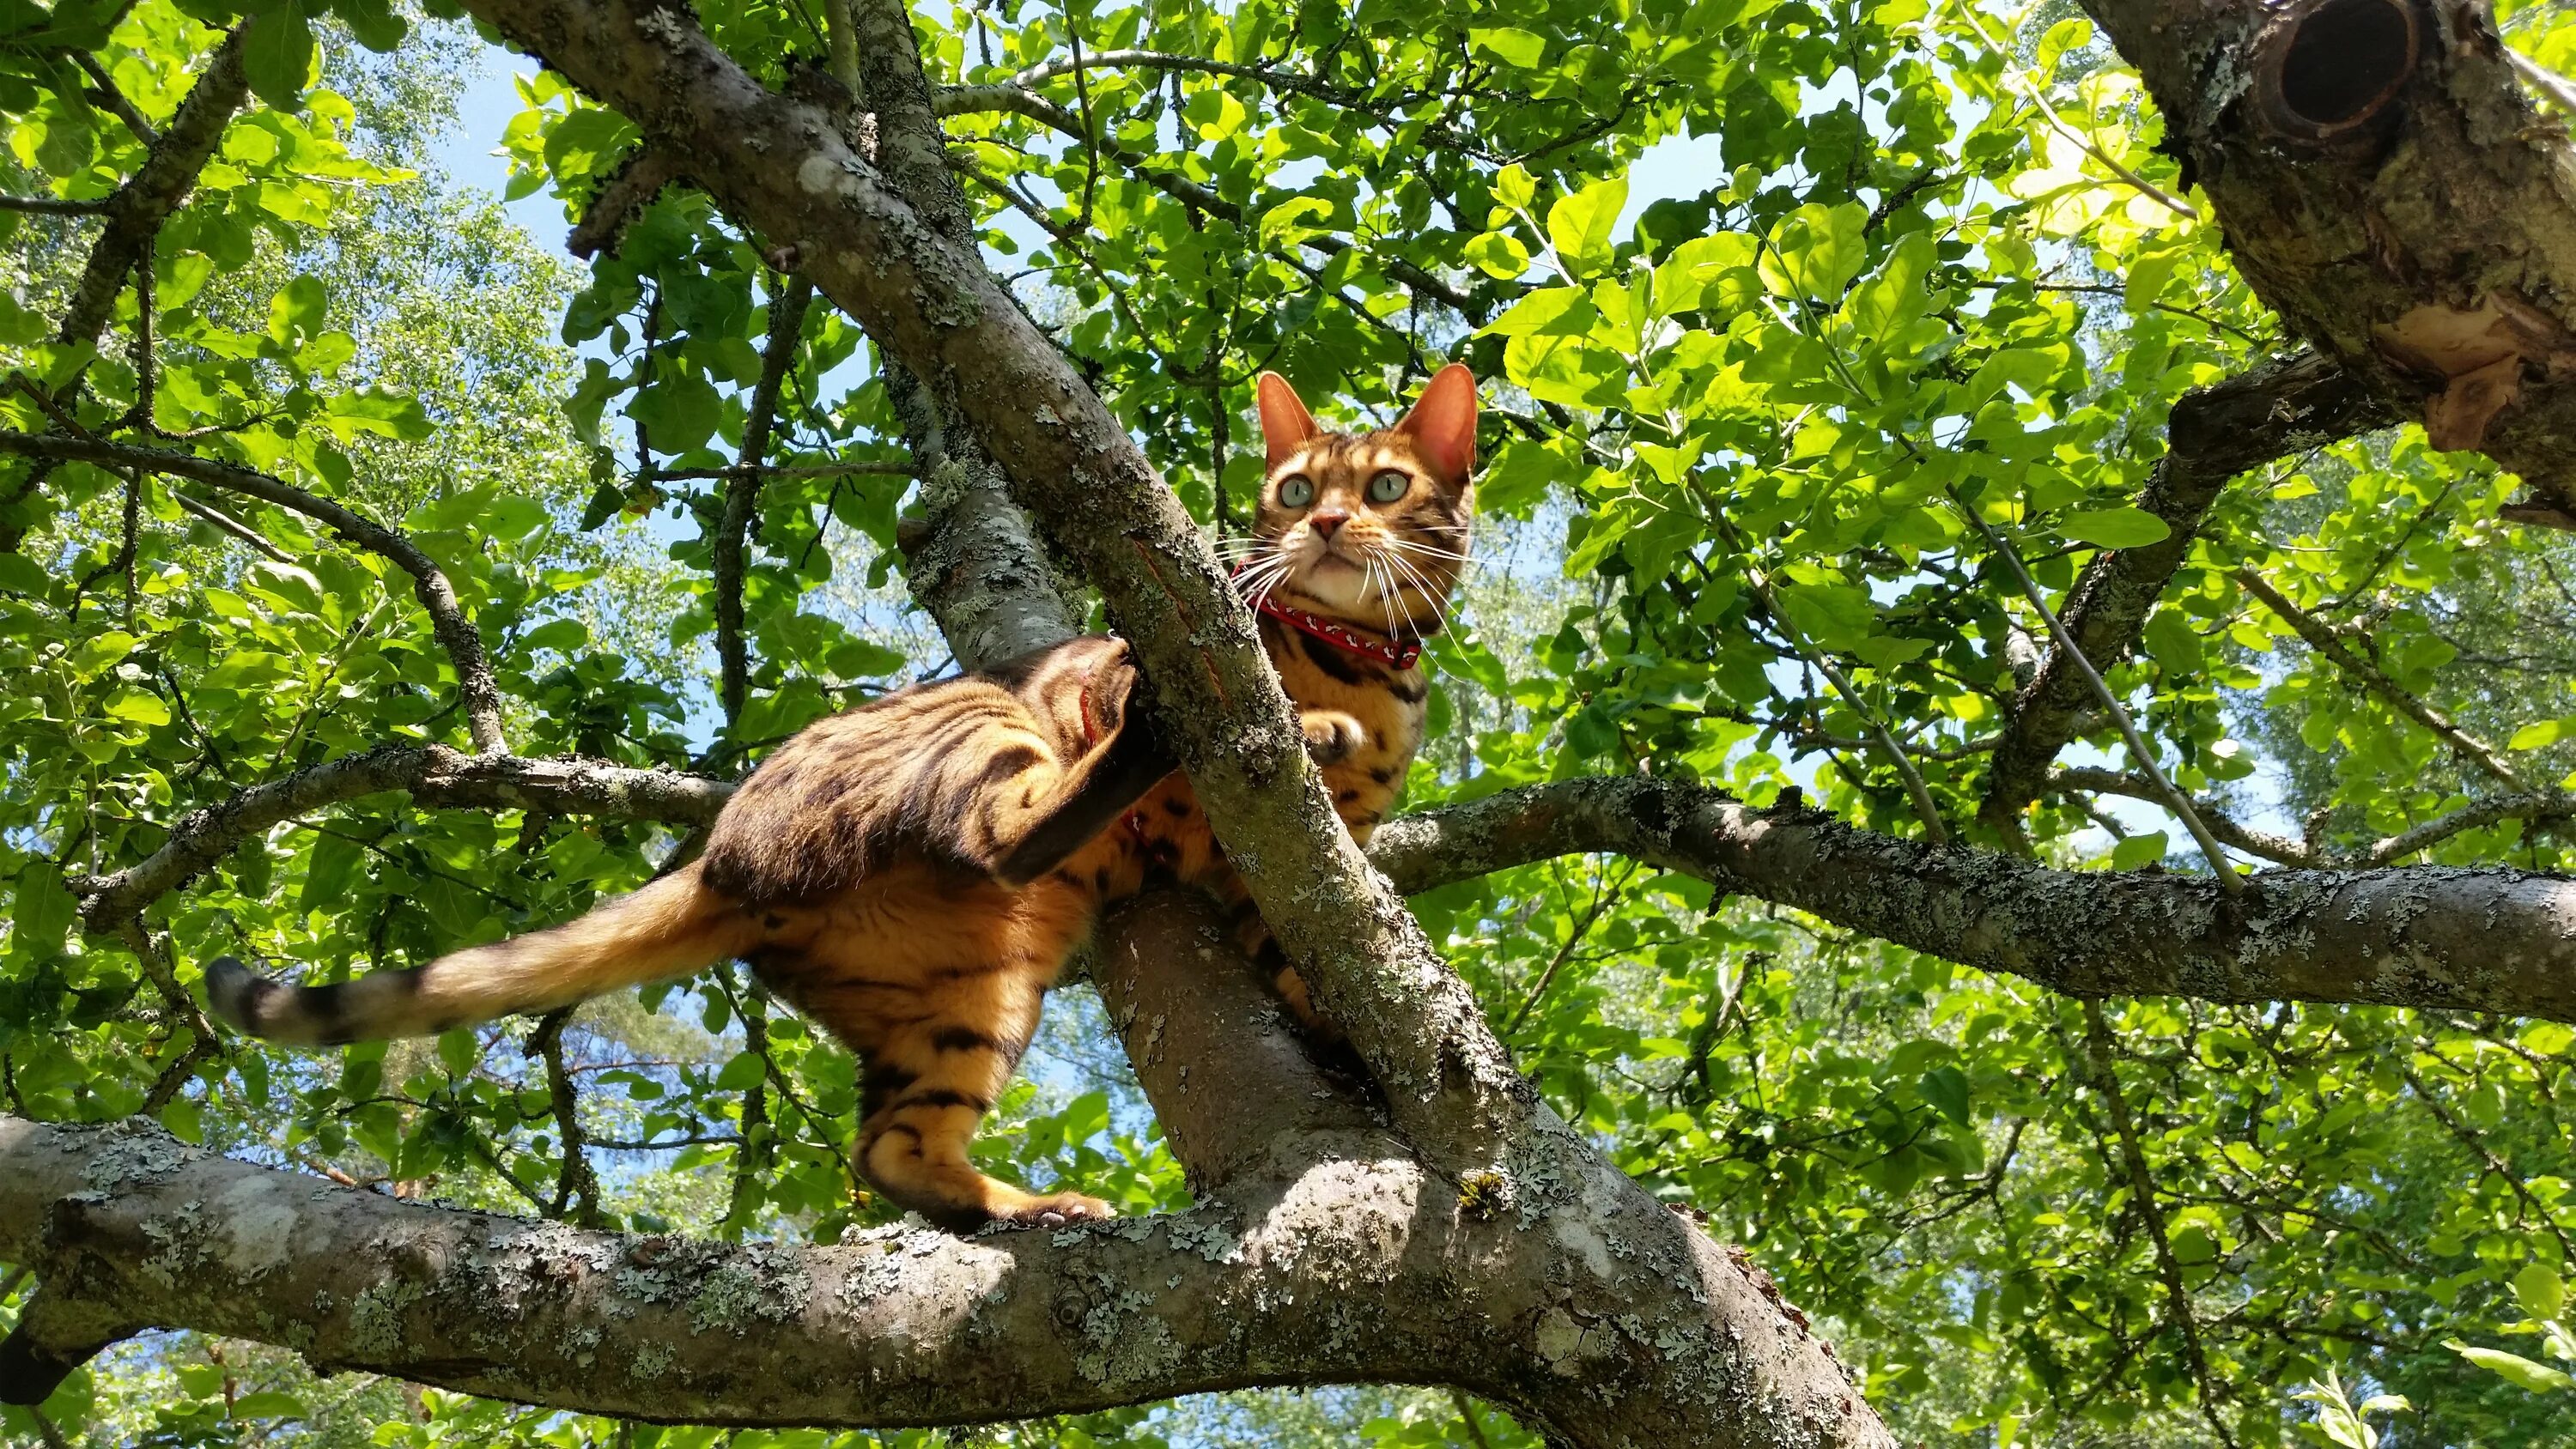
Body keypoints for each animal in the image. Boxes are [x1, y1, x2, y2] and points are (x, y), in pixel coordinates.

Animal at [211, 357, 1484, 1230]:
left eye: (1383, 484)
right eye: (1293, 489)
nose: (1329, 524)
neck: (1360, 668)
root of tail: (721, 858)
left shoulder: (1277, 872)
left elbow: (1314, 954)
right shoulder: (1148, 689)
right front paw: (1297, 726)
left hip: (973, 992)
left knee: (889, 1151)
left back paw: (1015, 1207)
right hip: (984, 733)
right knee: (1017, 827)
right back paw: (1180, 742)